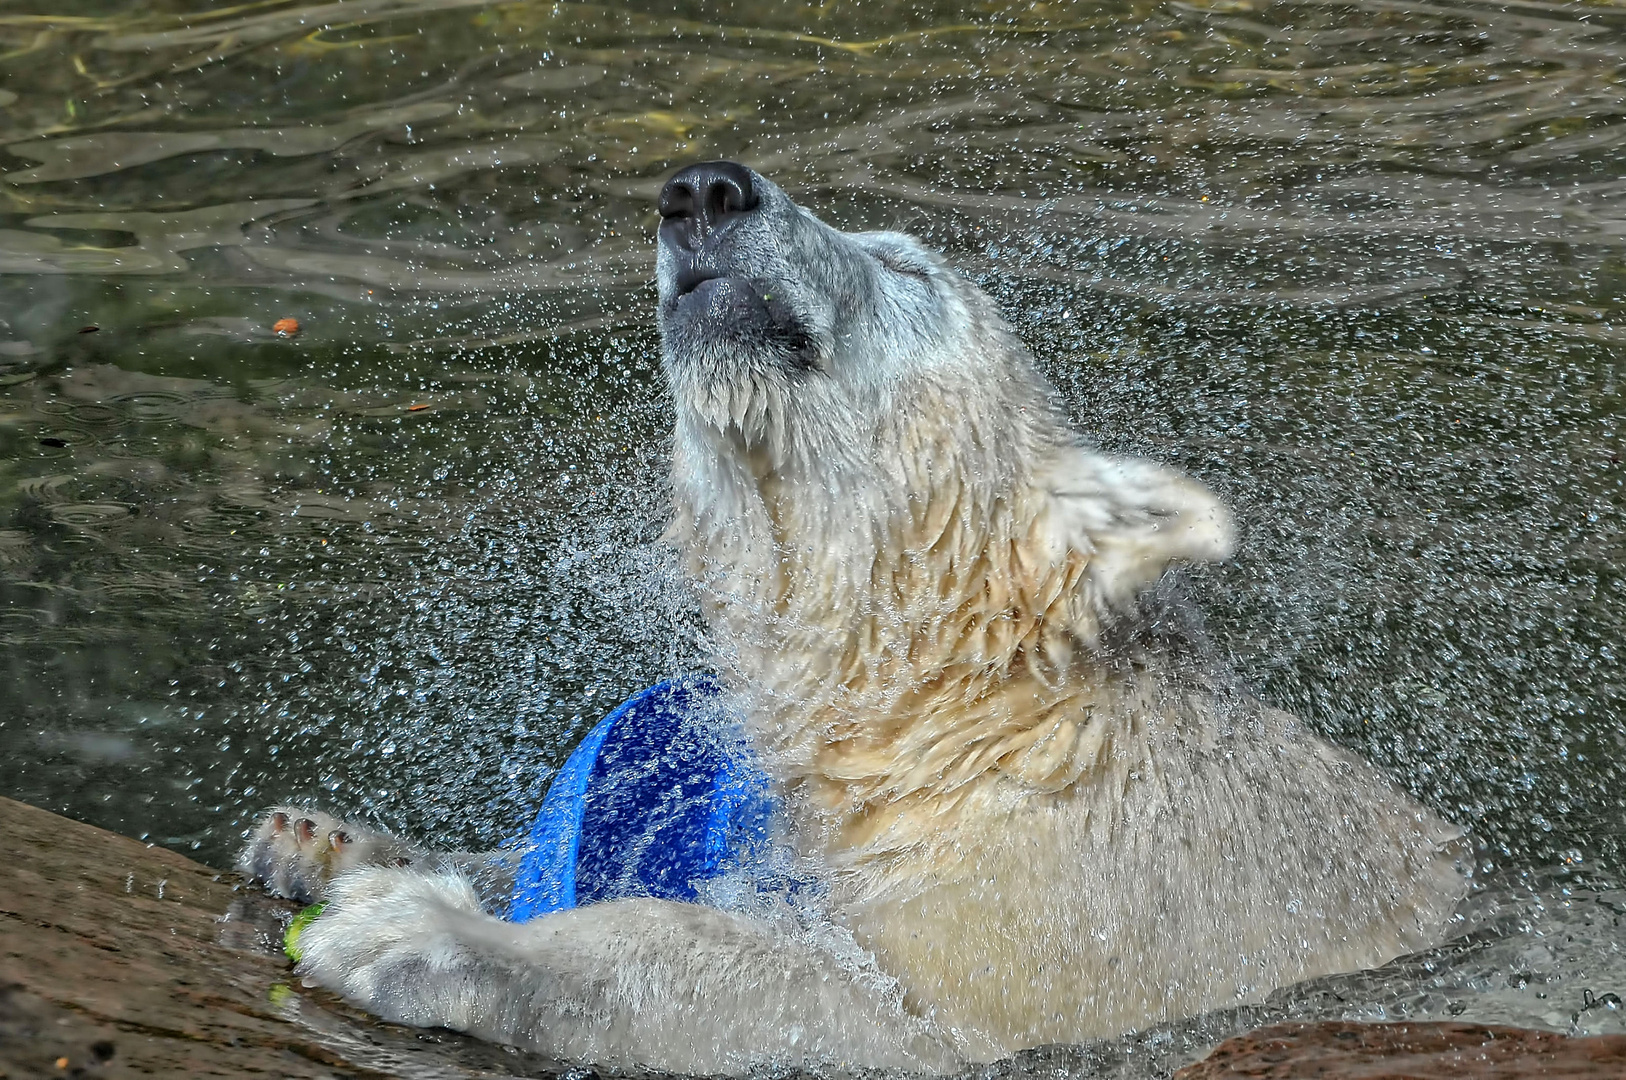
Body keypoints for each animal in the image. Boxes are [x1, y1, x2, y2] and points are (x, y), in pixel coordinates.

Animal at [243, 158, 1476, 1073]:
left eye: (902, 264)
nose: (704, 190)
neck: (958, 716)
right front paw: (326, 843)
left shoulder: (1079, 918)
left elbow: (840, 1004)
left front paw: (416, 932)